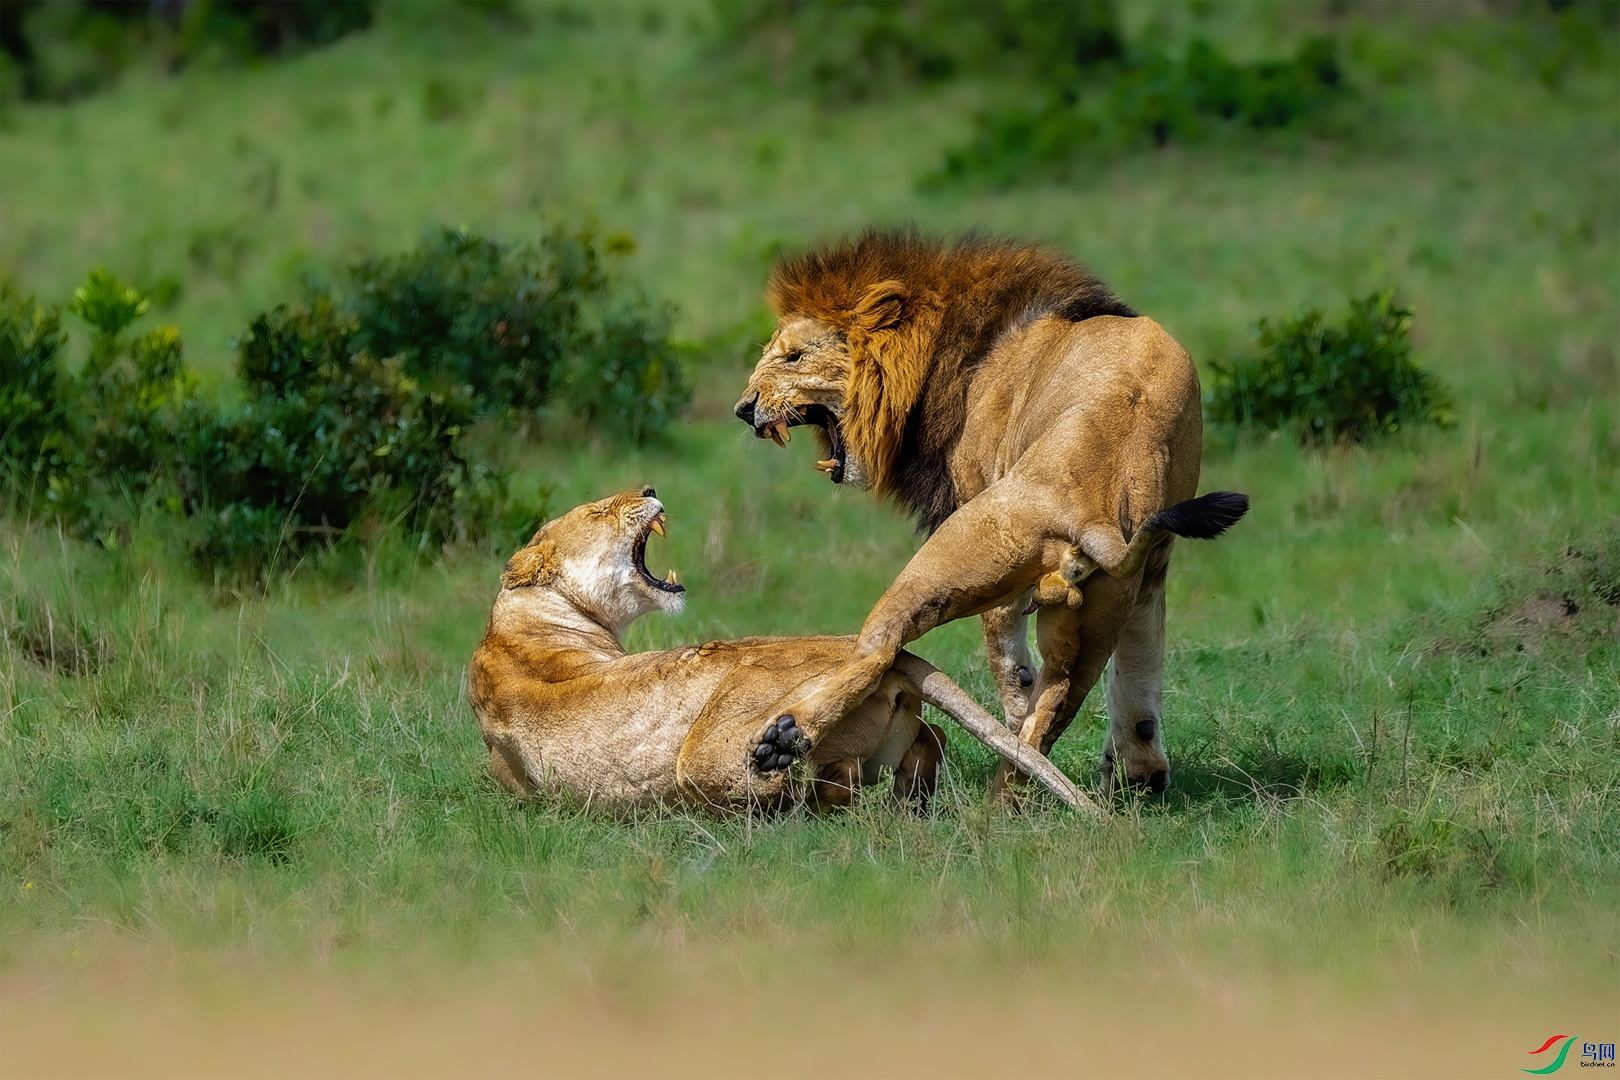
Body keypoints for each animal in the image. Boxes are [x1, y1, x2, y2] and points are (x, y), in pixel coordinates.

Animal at [733, 229, 1249, 795]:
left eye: (793, 357)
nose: (743, 408)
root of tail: (1091, 507)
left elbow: (1008, 662)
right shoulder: (1153, 573)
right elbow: (1139, 666)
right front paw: (1139, 770)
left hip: (952, 555)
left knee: (882, 648)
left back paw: (784, 739)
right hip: (1102, 603)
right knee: (1058, 701)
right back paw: (1012, 796)